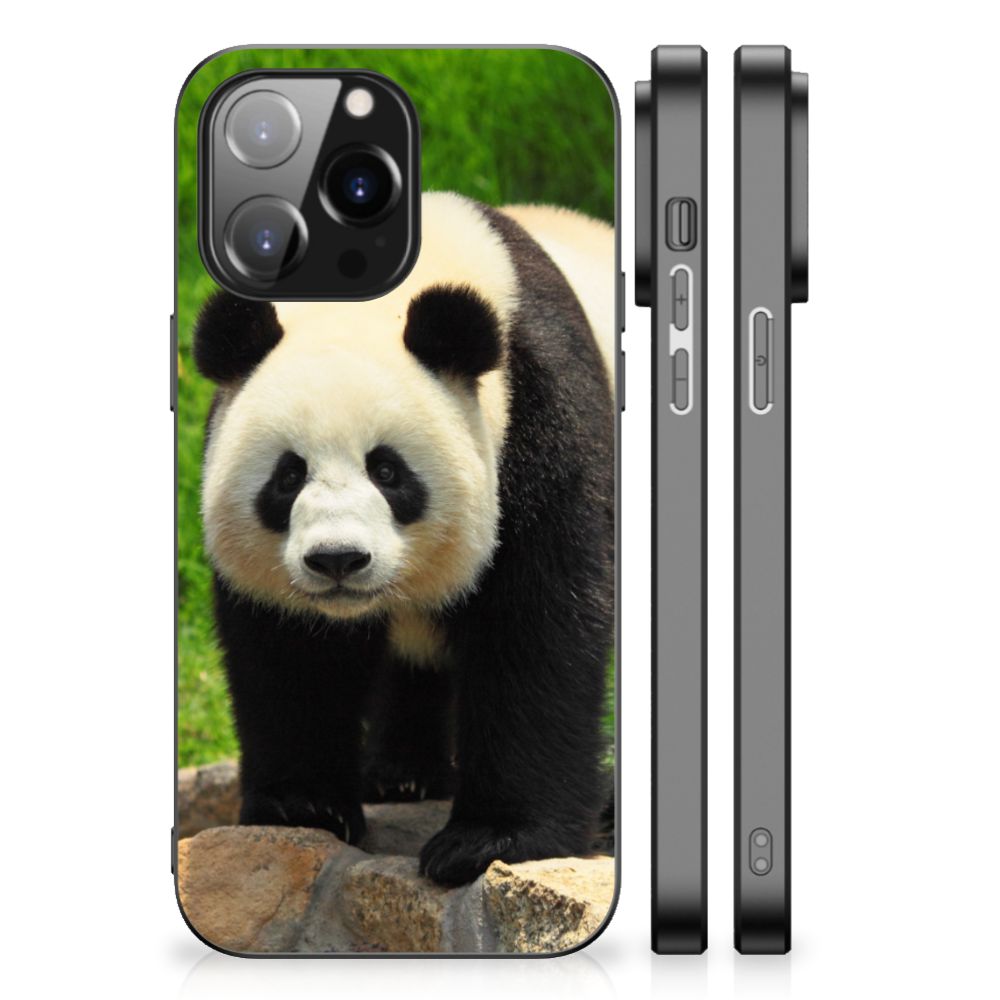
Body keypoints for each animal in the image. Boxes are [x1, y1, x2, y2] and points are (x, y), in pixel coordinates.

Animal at [193, 192, 615, 887]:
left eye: (388, 471)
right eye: (288, 476)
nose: (337, 560)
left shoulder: (541, 418)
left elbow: (539, 626)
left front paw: (490, 840)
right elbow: (291, 651)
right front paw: (303, 805)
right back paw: (401, 775)